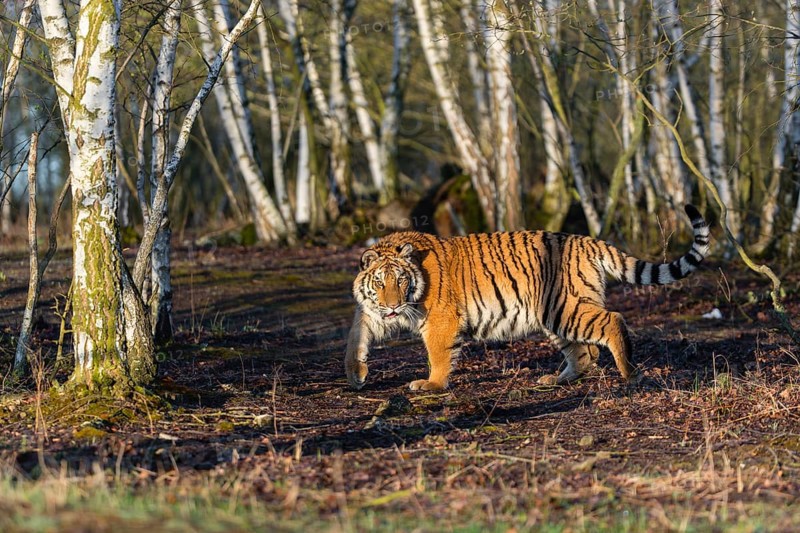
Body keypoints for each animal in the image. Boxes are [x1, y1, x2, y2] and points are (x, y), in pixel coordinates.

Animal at [345, 205, 710, 391]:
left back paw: (629, 373)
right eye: (380, 283)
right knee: (585, 352)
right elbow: (354, 336)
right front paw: (355, 375)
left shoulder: (440, 320)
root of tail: (586, 239)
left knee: (612, 321)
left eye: (401, 280)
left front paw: (431, 385)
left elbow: (439, 355)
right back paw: (555, 380)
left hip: (565, 308)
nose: (393, 304)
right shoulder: (374, 314)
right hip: (555, 315)